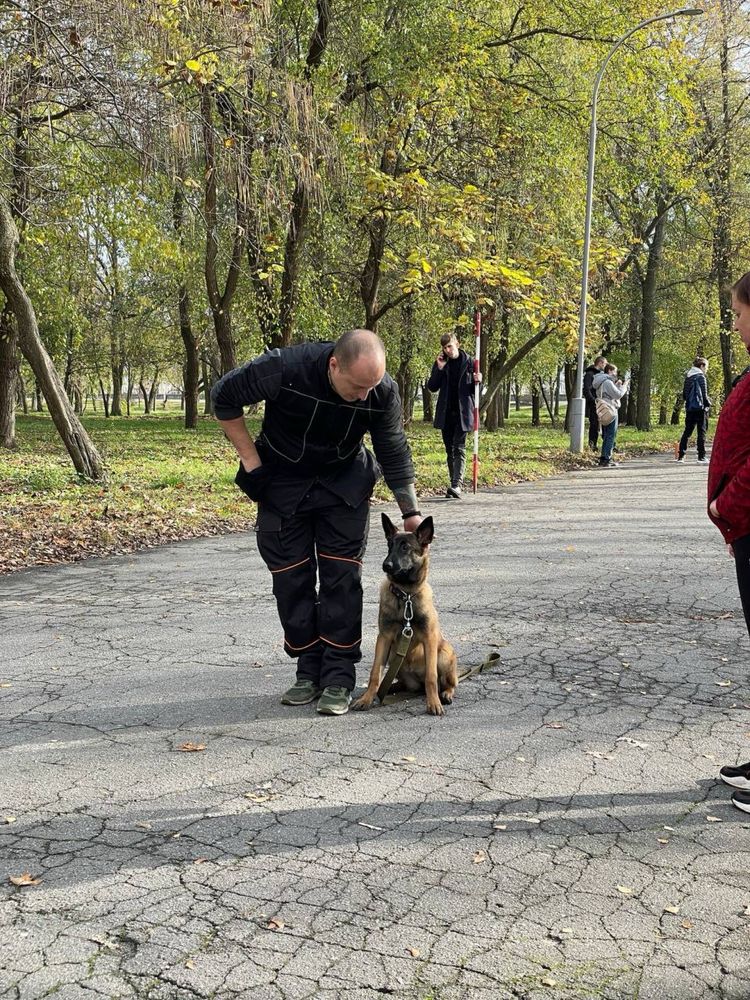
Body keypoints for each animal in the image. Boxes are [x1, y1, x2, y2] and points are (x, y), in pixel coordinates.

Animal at [352, 512, 458, 716]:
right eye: (389, 545)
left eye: (405, 547)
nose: (386, 565)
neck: (405, 596)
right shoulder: (383, 638)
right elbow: (375, 673)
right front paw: (366, 699)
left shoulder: (429, 639)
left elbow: (431, 677)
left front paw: (433, 703)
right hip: (394, 656)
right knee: (397, 682)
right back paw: (386, 690)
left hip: (444, 653)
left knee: (446, 683)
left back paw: (445, 694)